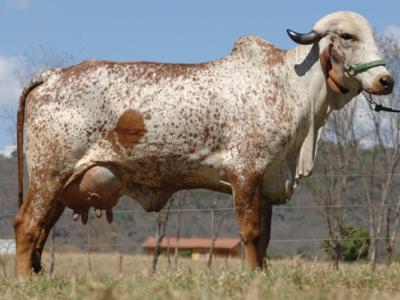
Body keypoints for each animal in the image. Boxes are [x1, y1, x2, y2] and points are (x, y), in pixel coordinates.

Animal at [13, 11, 394, 276]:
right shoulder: (246, 172)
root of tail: (53, 75)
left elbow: (266, 238)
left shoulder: (267, 181)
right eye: (346, 35)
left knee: (41, 230)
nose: (385, 80)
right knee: (27, 226)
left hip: (64, 184)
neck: (289, 86)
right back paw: (26, 281)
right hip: (49, 174)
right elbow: (251, 232)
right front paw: (252, 276)